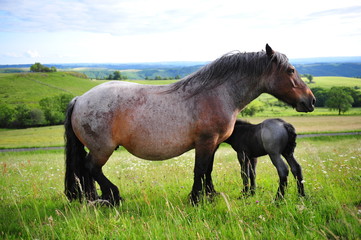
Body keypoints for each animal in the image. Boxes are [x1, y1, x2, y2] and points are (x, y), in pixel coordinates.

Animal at [64, 44, 316, 205]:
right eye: (291, 70)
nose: (311, 100)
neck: (216, 94)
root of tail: (80, 99)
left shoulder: (214, 144)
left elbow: (207, 170)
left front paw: (210, 196)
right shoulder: (205, 142)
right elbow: (199, 170)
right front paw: (196, 199)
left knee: (86, 172)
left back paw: (96, 199)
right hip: (102, 149)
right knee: (91, 168)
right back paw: (113, 196)